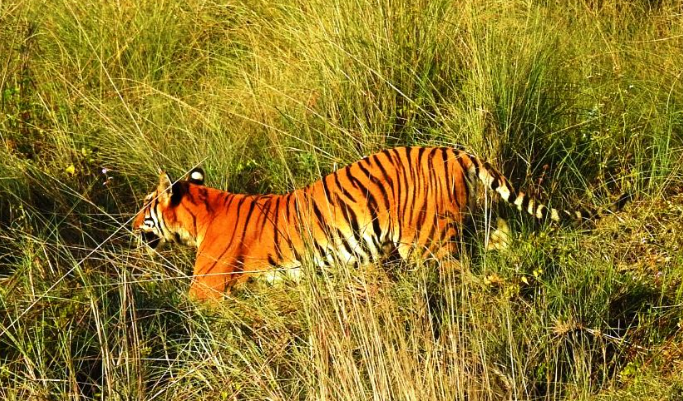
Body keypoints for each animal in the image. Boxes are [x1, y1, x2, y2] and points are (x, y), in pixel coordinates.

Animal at [132, 146, 630, 301]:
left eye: (145, 205)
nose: (132, 224)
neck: (202, 209)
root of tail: (452, 150)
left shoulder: (206, 287)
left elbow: (183, 310)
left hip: (426, 242)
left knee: (462, 276)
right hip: (469, 221)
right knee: (502, 238)